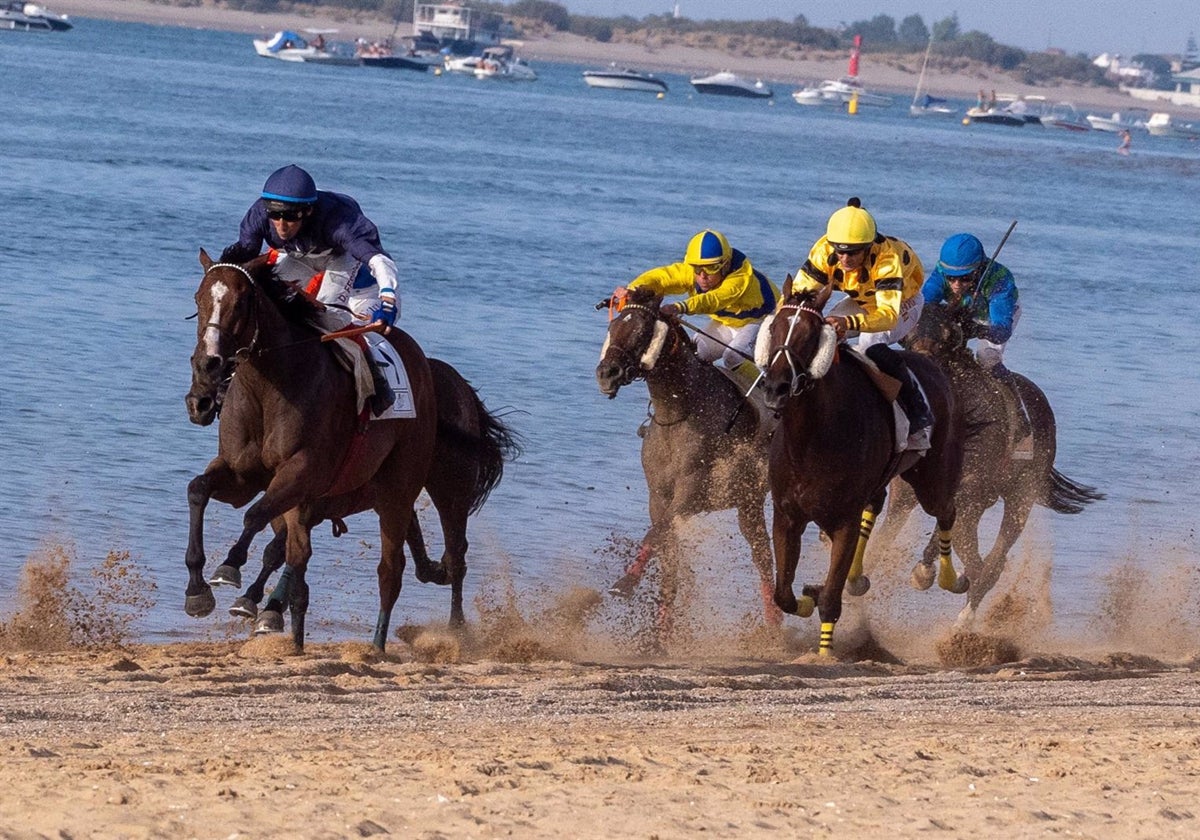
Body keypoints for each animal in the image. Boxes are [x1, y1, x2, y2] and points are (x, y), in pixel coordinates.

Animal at [189, 246, 444, 652]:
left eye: (242, 302)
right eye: (198, 299)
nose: (208, 366)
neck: (269, 385)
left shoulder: (301, 471)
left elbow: (255, 517)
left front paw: (230, 567)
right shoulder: (241, 473)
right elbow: (199, 490)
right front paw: (197, 591)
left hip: (397, 492)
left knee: (390, 570)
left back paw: (375, 649)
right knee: (300, 556)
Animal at [211, 355, 520, 628]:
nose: (205, 403)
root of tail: (462, 388)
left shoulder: (311, 503)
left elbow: (277, 549)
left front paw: (258, 602)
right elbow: (280, 547)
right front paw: (258, 599)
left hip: (450, 488)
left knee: (457, 552)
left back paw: (456, 622)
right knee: (422, 541)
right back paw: (434, 569)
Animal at [592, 285, 777, 638]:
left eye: (641, 331)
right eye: (613, 327)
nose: (606, 373)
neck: (680, 411)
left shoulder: (692, 494)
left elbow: (658, 532)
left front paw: (626, 582)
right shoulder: (658, 496)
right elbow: (667, 559)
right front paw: (660, 638)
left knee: (765, 558)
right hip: (750, 501)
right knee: (762, 553)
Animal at [763, 286, 969, 657]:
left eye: (810, 335)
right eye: (773, 329)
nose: (776, 388)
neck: (812, 437)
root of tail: (937, 368)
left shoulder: (843, 519)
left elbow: (831, 600)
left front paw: (825, 653)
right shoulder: (787, 516)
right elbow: (783, 594)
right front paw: (808, 596)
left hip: (934, 475)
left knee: (946, 511)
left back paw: (949, 577)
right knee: (877, 501)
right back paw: (857, 578)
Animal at [883, 304, 1104, 628]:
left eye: (945, 339)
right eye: (907, 337)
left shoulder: (971, 492)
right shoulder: (906, 494)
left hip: (1020, 496)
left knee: (994, 560)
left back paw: (964, 619)